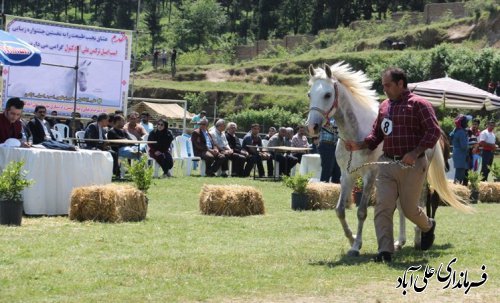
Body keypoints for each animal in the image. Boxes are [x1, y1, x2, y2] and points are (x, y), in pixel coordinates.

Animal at [304, 63, 472, 258]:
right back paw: (399, 242)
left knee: (419, 204)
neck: (357, 133)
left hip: (420, 178)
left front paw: (356, 245)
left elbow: (361, 212)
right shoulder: (347, 176)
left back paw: (419, 239)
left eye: (327, 94)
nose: (311, 127)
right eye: (309, 94)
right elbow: (339, 210)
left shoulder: (369, 176)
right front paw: (352, 239)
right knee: (401, 206)